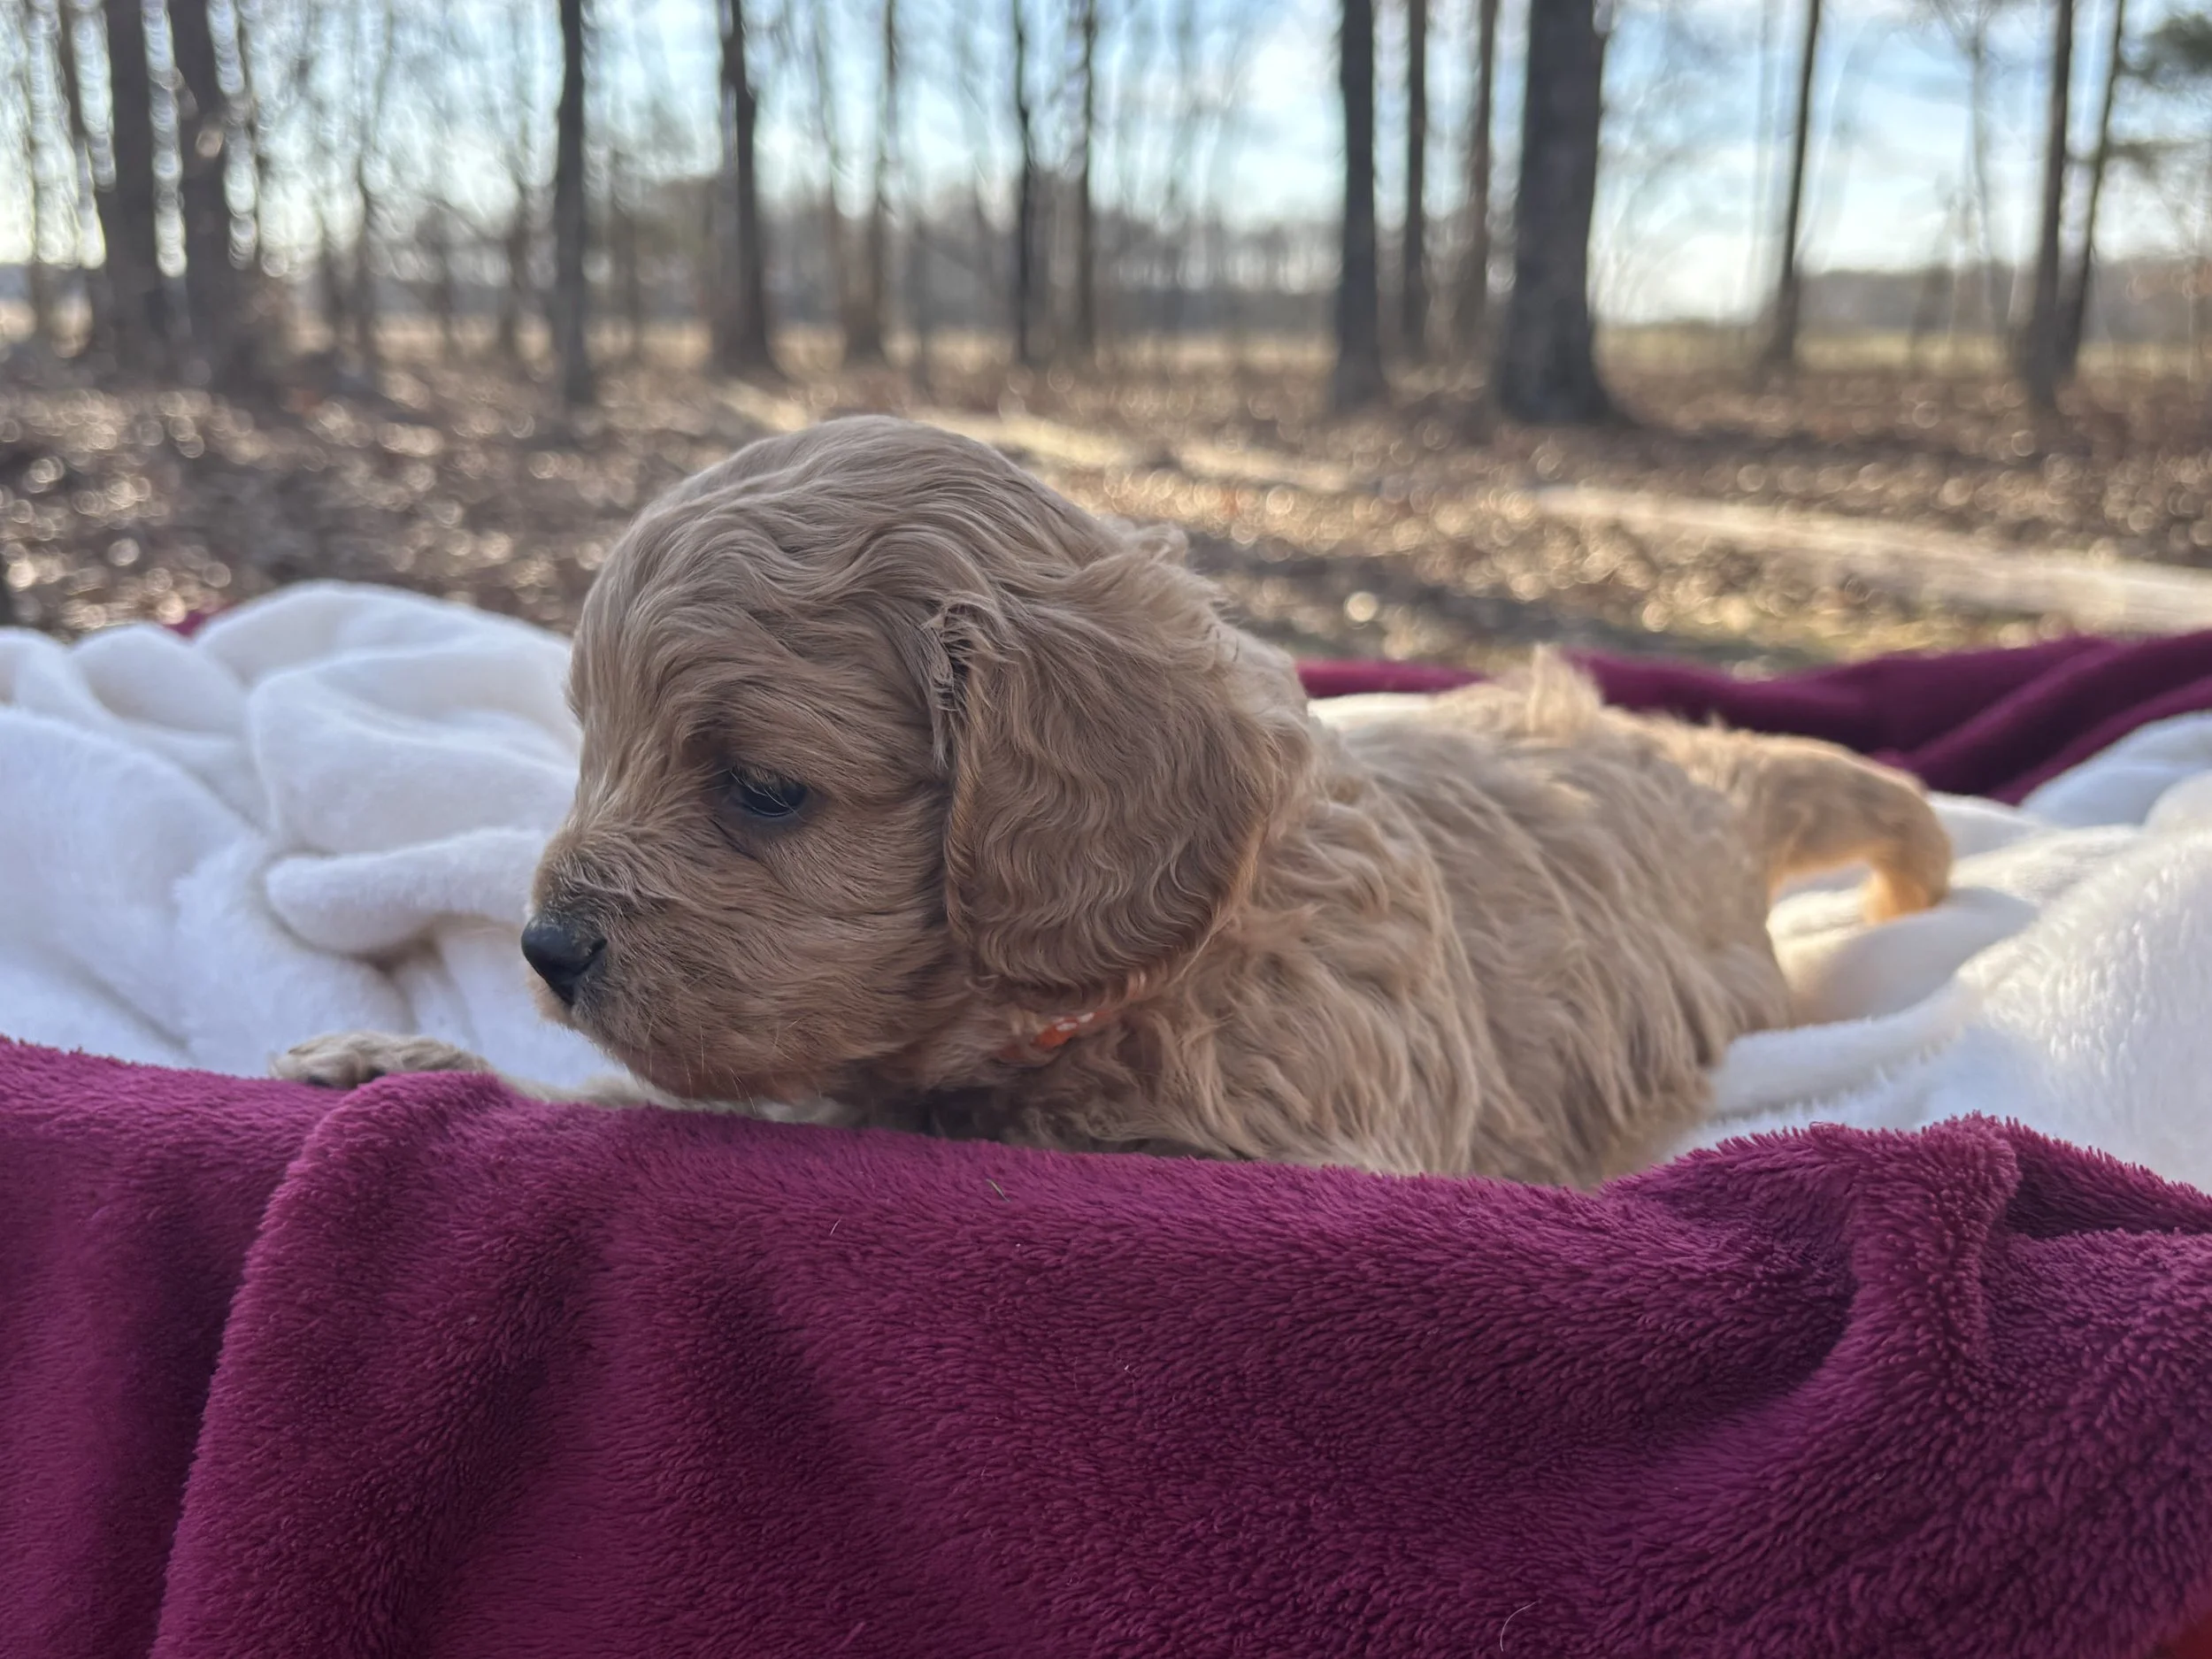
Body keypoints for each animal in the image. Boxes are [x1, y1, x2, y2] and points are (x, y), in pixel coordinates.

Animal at [278, 416, 1950, 1182]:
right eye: (589, 744)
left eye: (762, 789)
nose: (545, 951)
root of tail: (1700, 775)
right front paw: (397, 1054)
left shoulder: (1267, 1160)